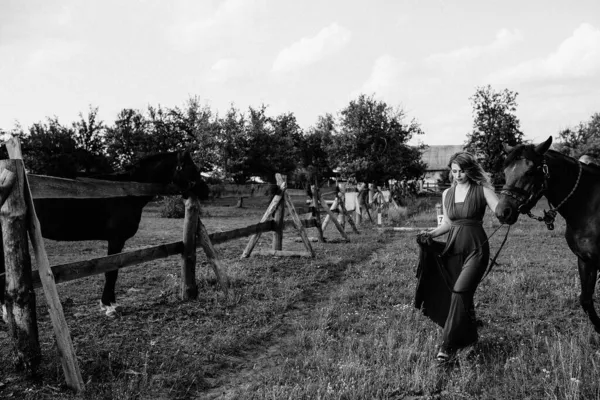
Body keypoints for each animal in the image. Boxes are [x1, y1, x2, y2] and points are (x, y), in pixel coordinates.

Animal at [0, 152, 211, 318]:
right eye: (189, 168)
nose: (206, 190)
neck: (126, 192)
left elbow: (113, 270)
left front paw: (110, 302)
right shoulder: (115, 239)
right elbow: (111, 270)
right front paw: (108, 306)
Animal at [494, 137, 600, 332]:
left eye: (530, 171)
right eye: (505, 171)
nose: (502, 213)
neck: (589, 205)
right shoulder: (585, 260)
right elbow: (586, 300)